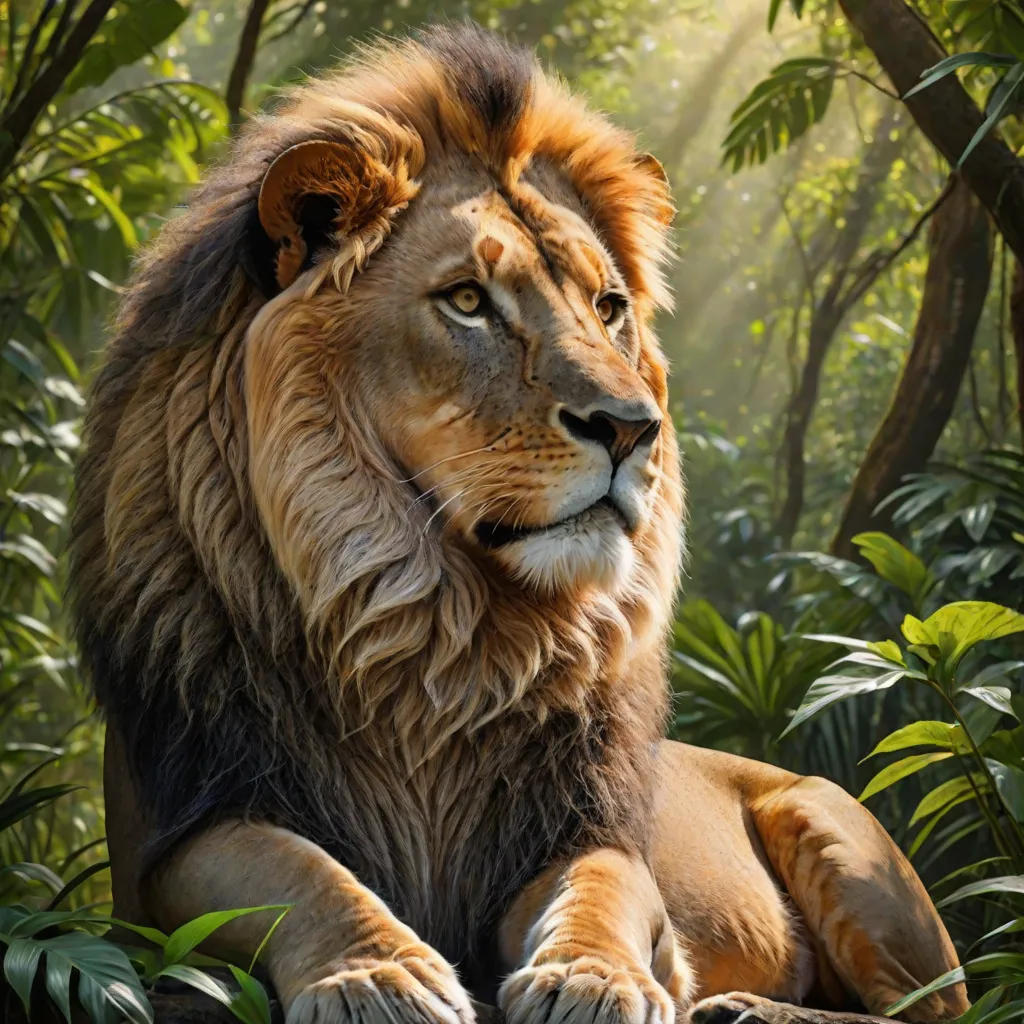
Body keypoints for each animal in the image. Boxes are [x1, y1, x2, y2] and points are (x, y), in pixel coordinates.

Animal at [71, 24, 967, 1024]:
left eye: (609, 308)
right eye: (468, 300)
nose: (633, 427)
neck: (435, 636)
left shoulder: (581, 829)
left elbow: (602, 892)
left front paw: (595, 978)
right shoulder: (177, 834)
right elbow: (294, 872)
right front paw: (377, 975)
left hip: (835, 828)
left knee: (931, 1008)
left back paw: (747, 1005)